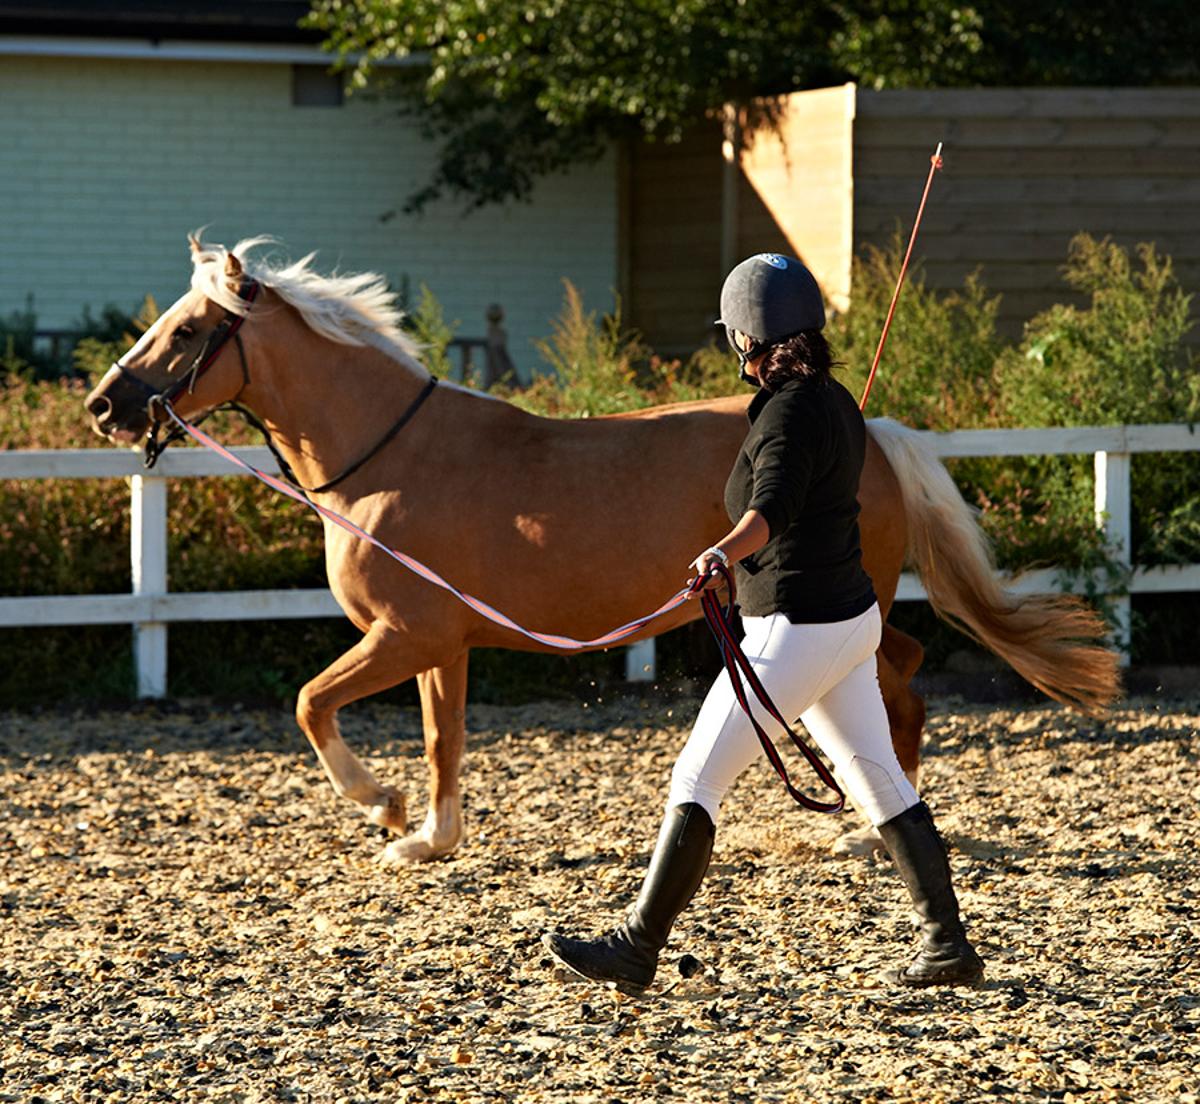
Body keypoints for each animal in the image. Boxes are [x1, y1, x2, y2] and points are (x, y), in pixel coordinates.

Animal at [84, 238, 1123, 864]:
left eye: (186, 329)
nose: (104, 405)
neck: (388, 463)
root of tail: (873, 429)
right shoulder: (440, 646)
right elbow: (442, 739)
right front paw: (431, 838)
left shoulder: (403, 635)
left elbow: (310, 703)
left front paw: (381, 808)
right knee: (902, 673)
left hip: (820, 605)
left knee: (899, 682)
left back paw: (870, 829)